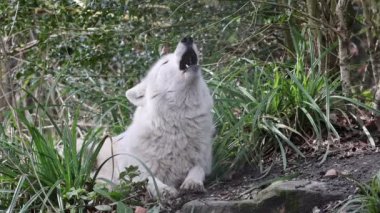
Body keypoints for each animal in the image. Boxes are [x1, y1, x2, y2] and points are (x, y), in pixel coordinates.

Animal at [92, 36, 214, 198]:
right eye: (165, 62)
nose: (187, 38)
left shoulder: (204, 163)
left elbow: (198, 169)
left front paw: (192, 182)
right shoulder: (130, 170)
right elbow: (148, 178)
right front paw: (164, 190)